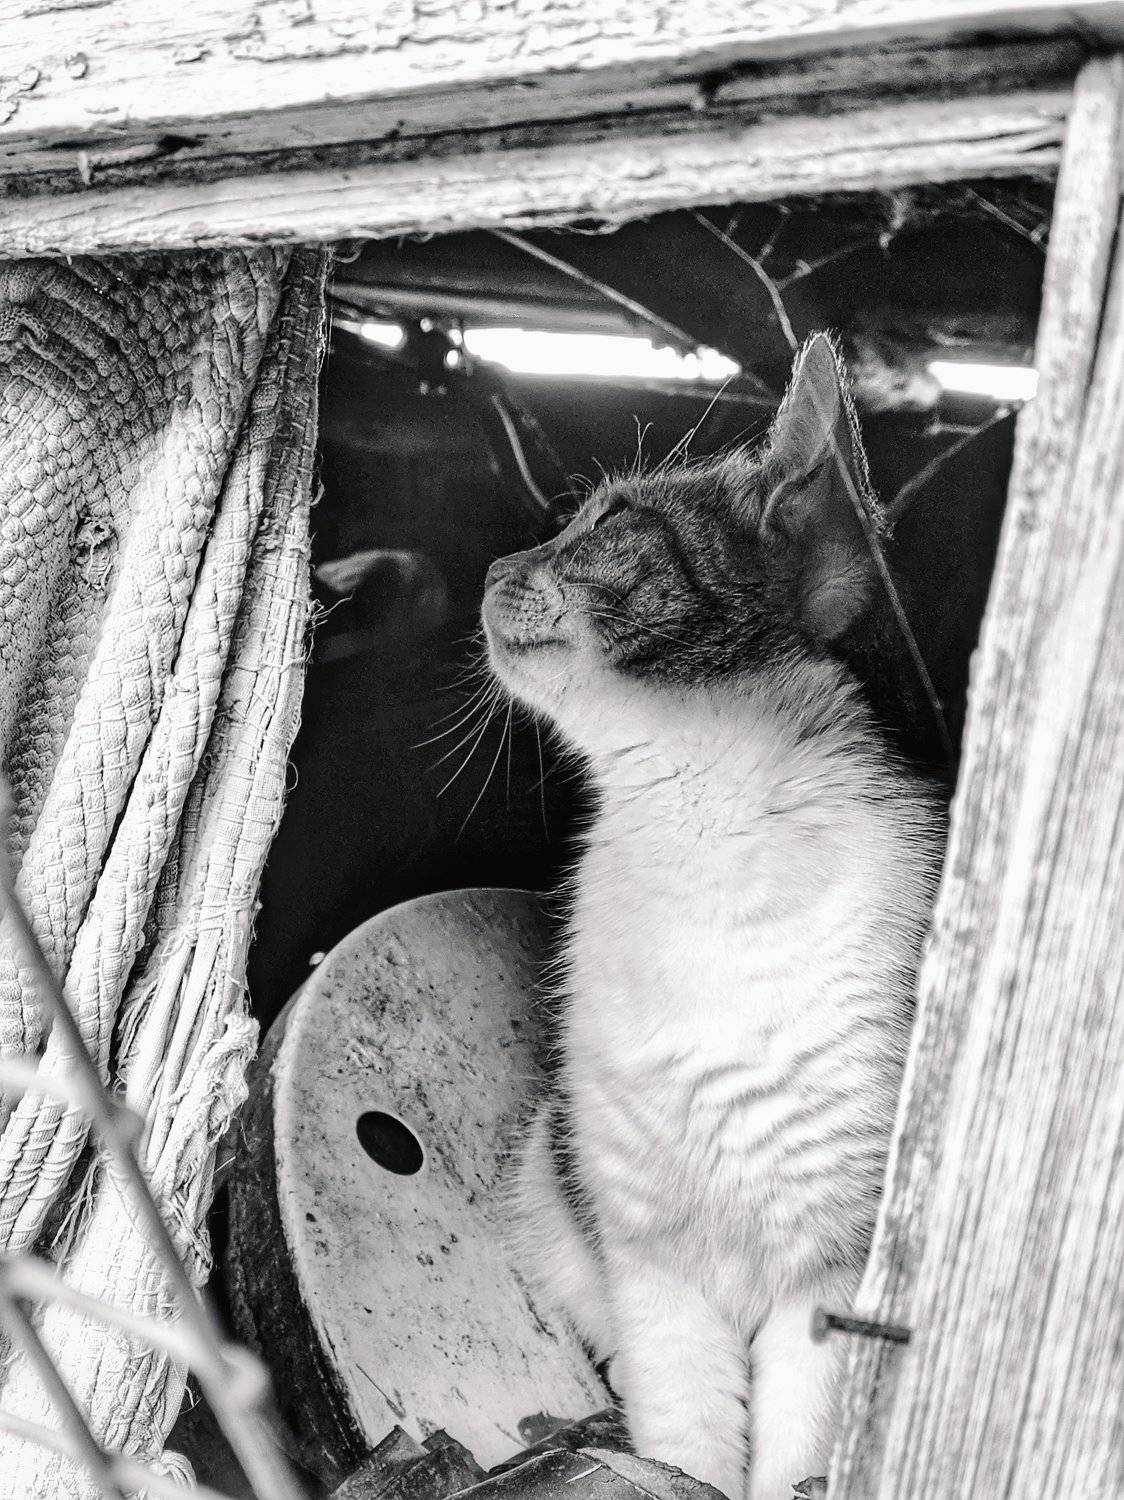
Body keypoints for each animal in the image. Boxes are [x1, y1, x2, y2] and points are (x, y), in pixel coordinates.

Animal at [482, 334, 944, 1500]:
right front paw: (661, 1465)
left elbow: (793, 1455)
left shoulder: (832, 1272)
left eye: (609, 524)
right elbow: (682, 1437)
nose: (492, 570)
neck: (696, 830)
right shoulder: (646, 1254)